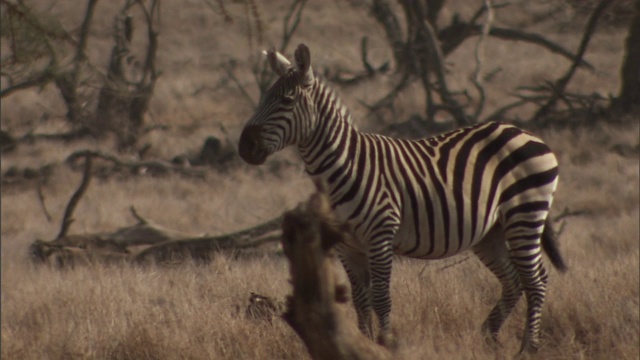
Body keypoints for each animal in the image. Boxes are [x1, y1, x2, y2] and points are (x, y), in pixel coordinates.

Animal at [239, 43, 564, 352]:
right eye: (263, 98)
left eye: (286, 100)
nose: (244, 147)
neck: (344, 166)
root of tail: (523, 131)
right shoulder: (347, 246)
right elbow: (360, 300)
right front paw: (362, 343)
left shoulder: (380, 235)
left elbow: (381, 298)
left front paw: (385, 343)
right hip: (490, 232)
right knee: (513, 280)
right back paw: (489, 336)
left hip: (525, 213)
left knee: (536, 279)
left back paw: (527, 347)